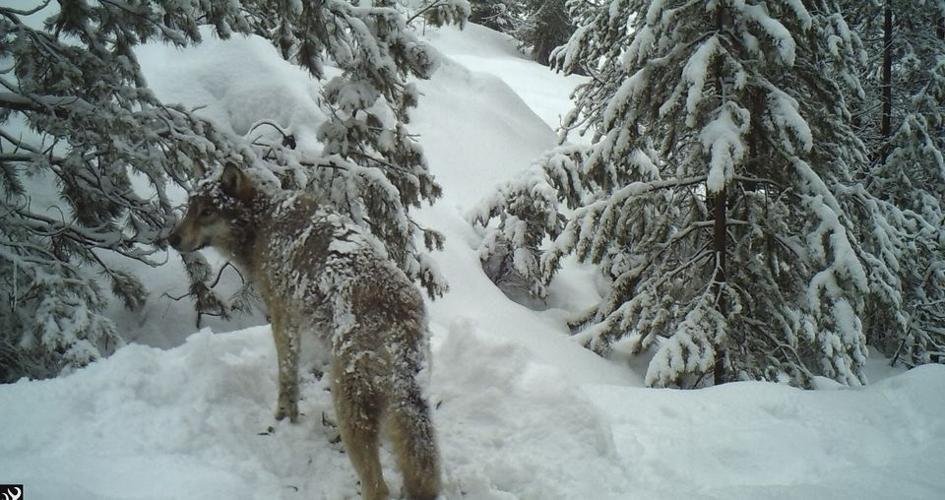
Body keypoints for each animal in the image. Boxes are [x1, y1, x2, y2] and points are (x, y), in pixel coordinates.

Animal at [168, 164, 441, 500]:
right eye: (189, 209)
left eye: (207, 212)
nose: (171, 238)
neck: (263, 223)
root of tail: (398, 321)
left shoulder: (282, 315)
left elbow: (287, 373)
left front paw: (285, 416)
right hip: (413, 407)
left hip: (349, 408)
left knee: (377, 487)